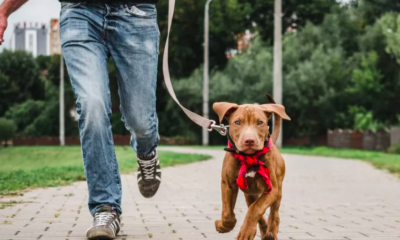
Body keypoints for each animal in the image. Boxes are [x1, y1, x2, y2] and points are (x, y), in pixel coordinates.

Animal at [212, 94, 290, 239]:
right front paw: (223, 226)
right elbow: (228, 213)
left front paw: (246, 231)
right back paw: (264, 231)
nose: (249, 140)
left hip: (278, 189)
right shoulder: (228, 184)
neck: (249, 157)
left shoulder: (271, 189)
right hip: (250, 194)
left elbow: (256, 209)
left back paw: (271, 232)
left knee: (274, 213)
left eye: (259, 122)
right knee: (255, 208)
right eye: (237, 122)